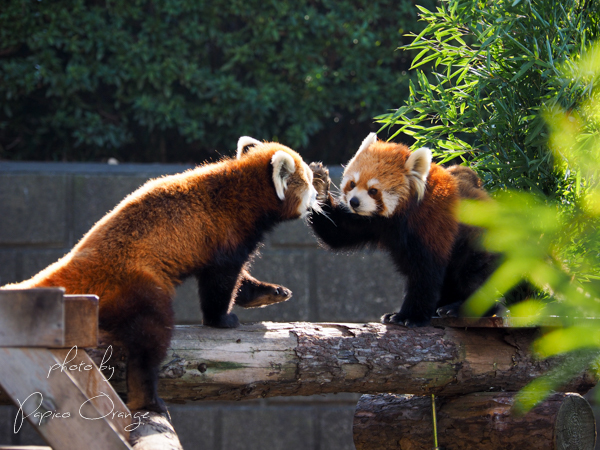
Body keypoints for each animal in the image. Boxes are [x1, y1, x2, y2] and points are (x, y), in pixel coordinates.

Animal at [1, 139, 318, 414]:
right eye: (310, 182)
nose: (318, 197)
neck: (244, 190)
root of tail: (80, 259)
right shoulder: (226, 236)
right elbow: (220, 283)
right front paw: (221, 319)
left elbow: (238, 279)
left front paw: (267, 293)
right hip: (135, 286)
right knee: (150, 338)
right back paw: (149, 401)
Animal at [310, 133, 496, 326]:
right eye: (352, 184)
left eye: (373, 190)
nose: (354, 202)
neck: (398, 215)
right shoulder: (373, 222)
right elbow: (338, 232)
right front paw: (319, 185)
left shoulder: (431, 224)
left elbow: (425, 273)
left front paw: (409, 316)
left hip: (480, 239)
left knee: (476, 274)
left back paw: (460, 308)